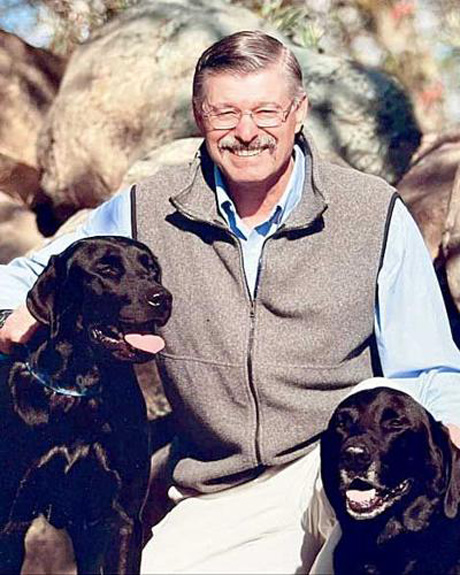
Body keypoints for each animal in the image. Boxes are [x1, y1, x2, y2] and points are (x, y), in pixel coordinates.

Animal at [0, 236, 172, 574]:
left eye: (152, 269)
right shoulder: (10, 522)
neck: (78, 391)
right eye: (106, 269)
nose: (163, 298)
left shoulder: (119, 518)